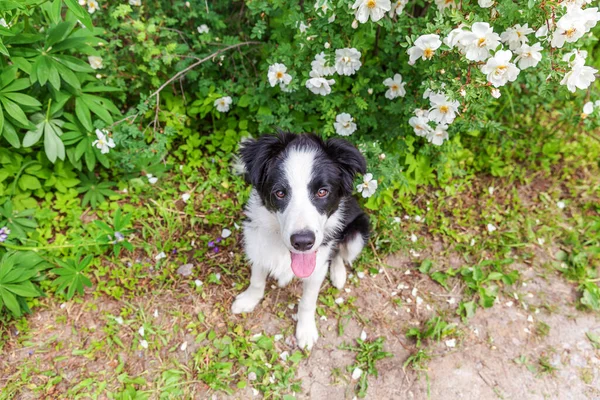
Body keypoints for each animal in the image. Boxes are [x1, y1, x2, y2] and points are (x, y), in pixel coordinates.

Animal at [231, 132, 368, 350]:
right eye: (280, 192)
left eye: (322, 191)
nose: (303, 242)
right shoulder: (257, 243)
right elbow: (257, 280)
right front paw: (248, 300)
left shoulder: (317, 268)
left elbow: (307, 302)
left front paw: (306, 331)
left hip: (358, 233)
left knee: (339, 252)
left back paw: (338, 274)